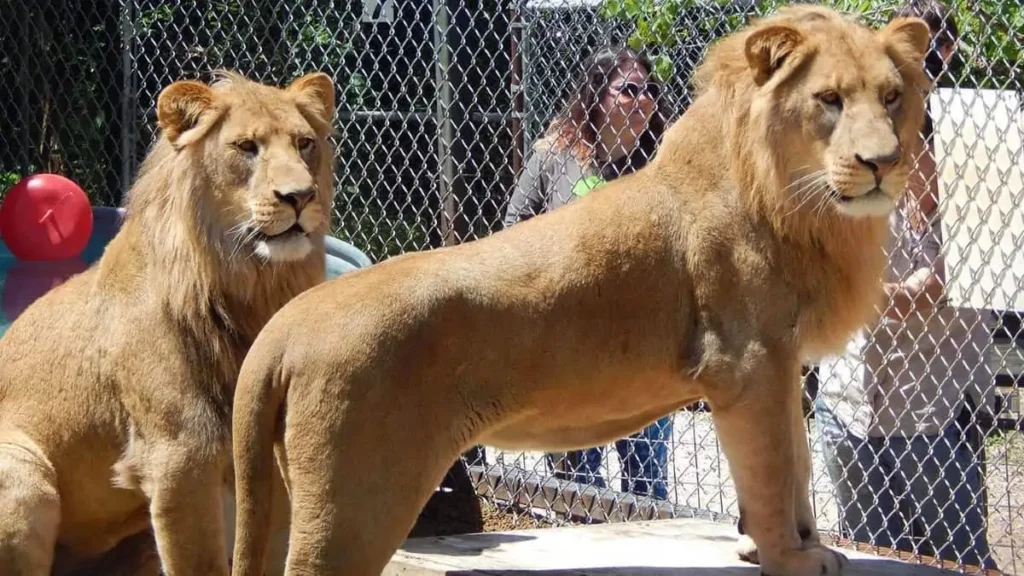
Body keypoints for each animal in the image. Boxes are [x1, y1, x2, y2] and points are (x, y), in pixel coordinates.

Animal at [0, 70, 335, 573]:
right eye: (246, 147)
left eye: (305, 143)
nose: (299, 197)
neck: (251, 287)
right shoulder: (180, 458)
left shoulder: (266, 453)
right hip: (25, 476)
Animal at [228, 5, 933, 573]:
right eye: (829, 99)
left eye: (893, 96)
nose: (882, 163)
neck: (801, 203)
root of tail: (284, 329)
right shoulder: (746, 362)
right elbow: (773, 471)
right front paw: (790, 557)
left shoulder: (782, 361)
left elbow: (799, 464)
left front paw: (789, 546)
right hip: (354, 505)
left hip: (280, 497)